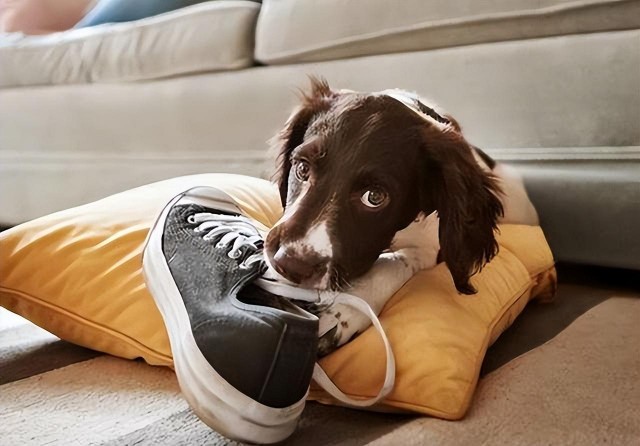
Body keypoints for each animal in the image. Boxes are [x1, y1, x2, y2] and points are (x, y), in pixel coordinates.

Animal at [262, 77, 536, 352]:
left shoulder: (432, 247)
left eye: (374, 197)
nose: (290, 264)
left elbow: (396, 261)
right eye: (302, 168)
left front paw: (344, 311)